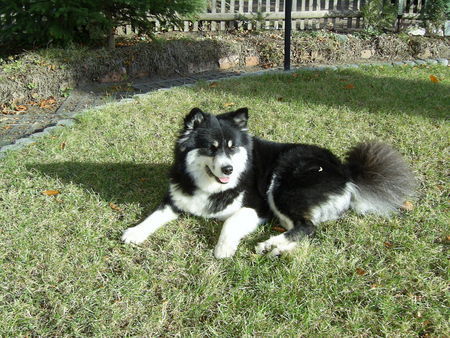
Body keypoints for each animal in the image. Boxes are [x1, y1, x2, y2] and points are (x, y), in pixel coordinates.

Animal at [120, 108, 414, 258]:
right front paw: (135, 232)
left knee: (307, 226)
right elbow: (155, 215)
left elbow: (229, 222)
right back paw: (277, 248)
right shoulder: (177, 197)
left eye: (232, 147)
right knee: (307, 229)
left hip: (282, 186)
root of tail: (344, 169)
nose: (228, 168)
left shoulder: (257, 207)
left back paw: (270, 245)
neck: (211, 185)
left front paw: (223, 248)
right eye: (211, 148)